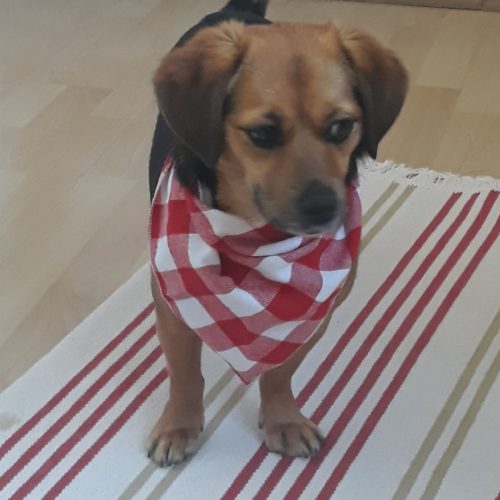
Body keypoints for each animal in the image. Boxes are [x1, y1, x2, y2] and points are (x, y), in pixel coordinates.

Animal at [146, 0, 406, 466]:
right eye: (263, 134)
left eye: (342, 127)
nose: (323, 208)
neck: (257, 240)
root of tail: (239, 10)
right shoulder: (174, 306)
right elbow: (185, 373)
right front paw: (179, 424)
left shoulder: (313, 314)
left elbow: (281, 372)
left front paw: (283, 418)